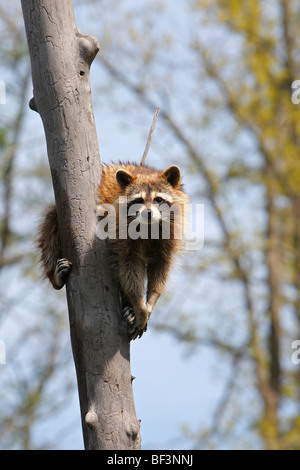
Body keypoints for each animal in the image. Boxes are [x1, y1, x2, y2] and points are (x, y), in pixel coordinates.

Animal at [37, 163, 188, 340]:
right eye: (138, 200)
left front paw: (151, 300)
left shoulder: (170, 234)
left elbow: (160, 267)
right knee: (50, 224)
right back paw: (54, 275)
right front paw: (139, 304)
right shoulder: (121, 231)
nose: (148, 213)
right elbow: (128, 267)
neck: (149, 226)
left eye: (159, 199)